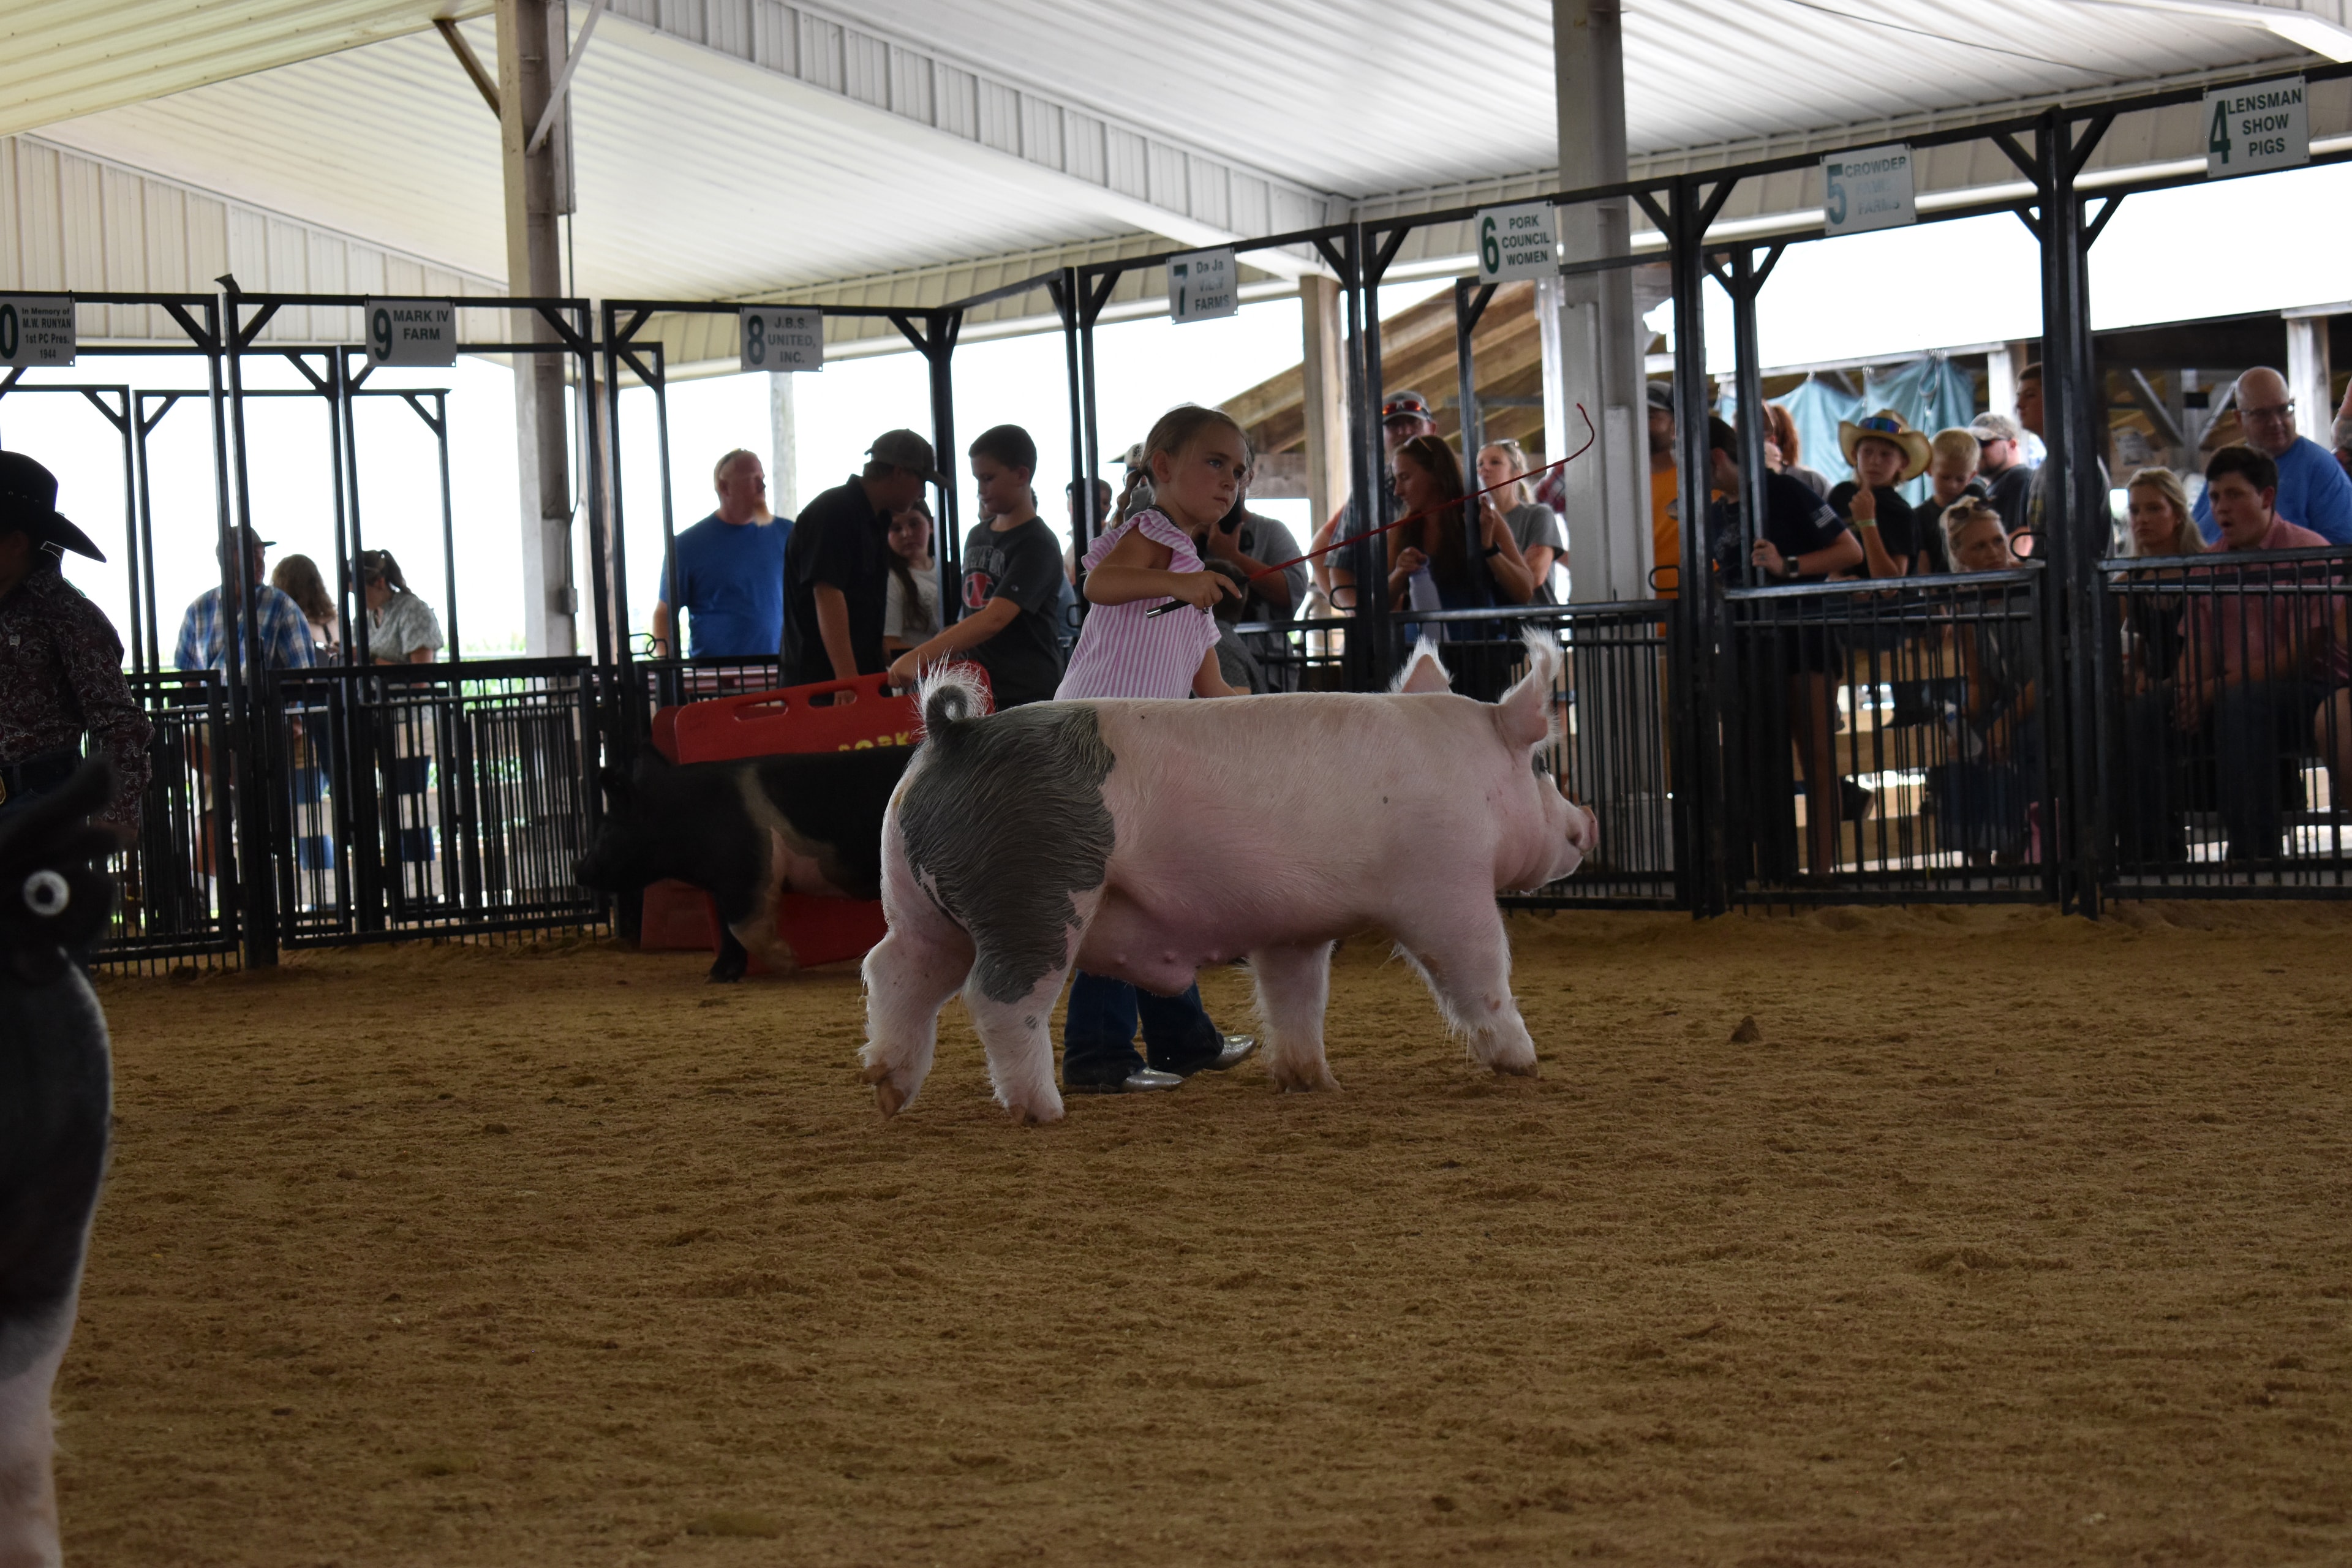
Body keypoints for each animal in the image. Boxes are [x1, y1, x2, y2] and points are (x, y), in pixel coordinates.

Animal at [576, 746, 912, 981]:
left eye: (605, 829)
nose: (579, 870)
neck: (684, 817)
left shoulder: (750, 870)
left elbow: (743, 926)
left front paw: (790, 964)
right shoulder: (723, 885)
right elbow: (727, 929)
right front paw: (717, 977)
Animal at [859, 634, 1597, 1124]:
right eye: (1539, 764)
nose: (1586, 823)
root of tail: (953, 736)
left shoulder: (1294, 929)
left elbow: (1296, 997)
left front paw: (1311, 1083)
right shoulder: (1446, 887)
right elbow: (1480, 973)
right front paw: (1525, 1064)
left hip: (921, 903)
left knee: (895, 969)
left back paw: (890, 1093)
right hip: (1038, 893)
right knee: (999, 999)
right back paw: (1042, 1111)